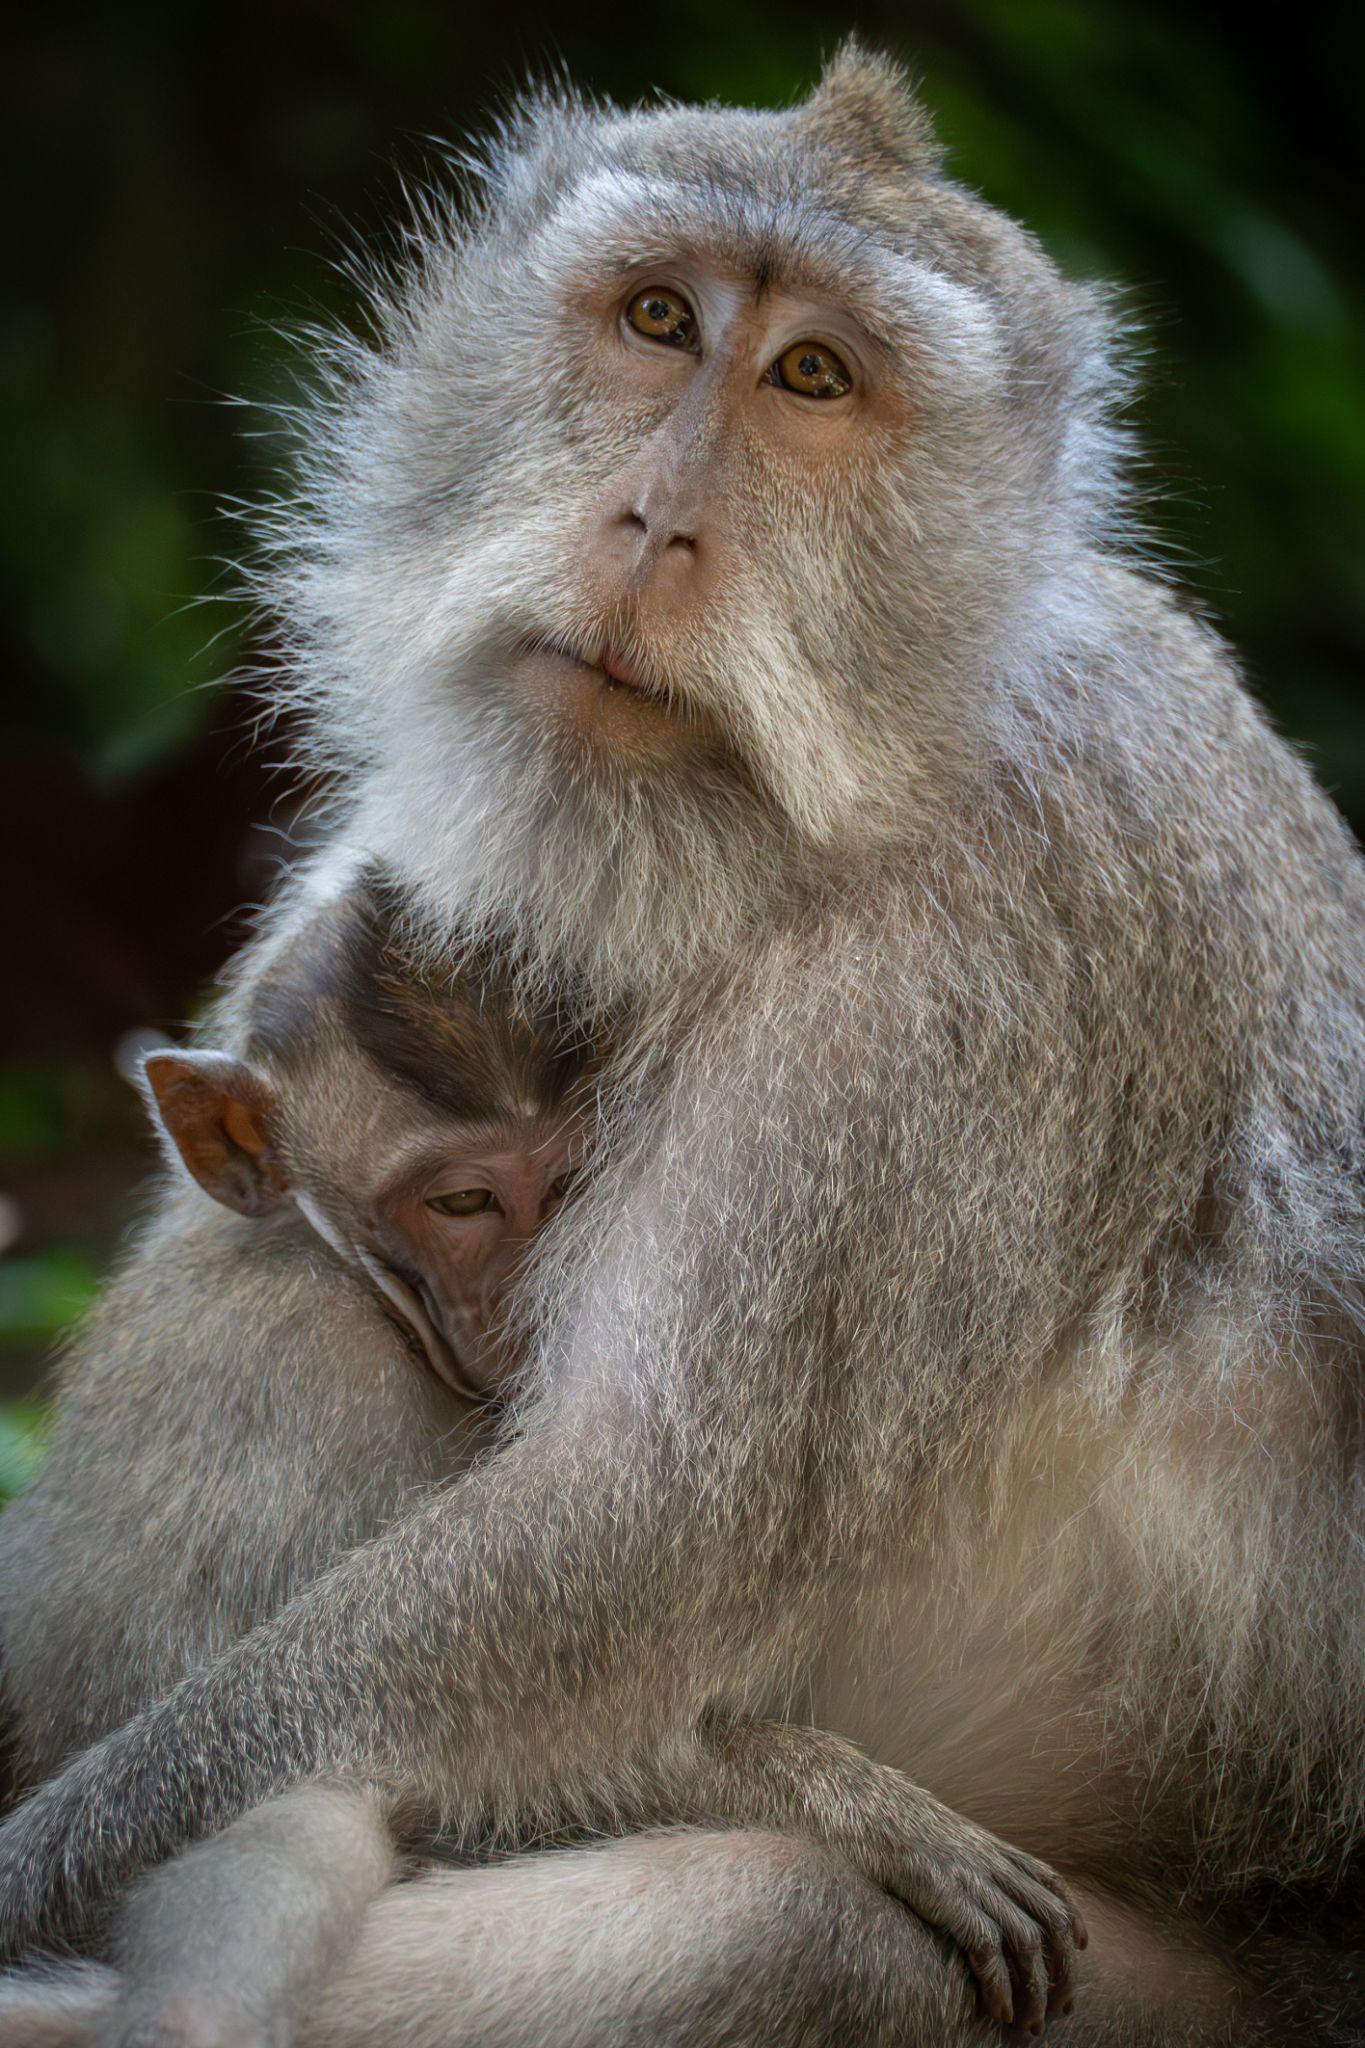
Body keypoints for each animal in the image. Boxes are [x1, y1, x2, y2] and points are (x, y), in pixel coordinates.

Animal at [0, 40, 1359, 2047]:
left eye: (815, 379)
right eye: (659, 319)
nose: (653, 522)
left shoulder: (947, 977)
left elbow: (632, 1535)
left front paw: (38, 1857)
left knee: (776, 1929)